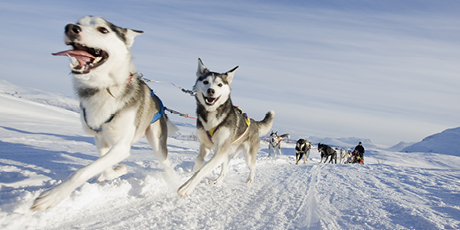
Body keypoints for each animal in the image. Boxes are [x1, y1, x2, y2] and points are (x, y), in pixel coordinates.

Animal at [29, 15, 175, 211]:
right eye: (79, 23)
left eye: (103, 30)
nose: (71, 28)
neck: (104, 88)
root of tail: (160, 103)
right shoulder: (100, 138)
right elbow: (104, 167)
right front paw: (118, 170)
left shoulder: (121, 146)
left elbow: (82, 172)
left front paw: (53, 195)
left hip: (157, 142)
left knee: (167, 165)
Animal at [178, 58, 274, 197]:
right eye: (205, 82)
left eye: (219, 85)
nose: (211, 91)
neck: (212, 114)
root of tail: (254, 122)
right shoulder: (205, 145)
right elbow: (199, 160)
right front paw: (195, 169)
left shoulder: (220, 151)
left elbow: (203, 170)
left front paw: (187, 187)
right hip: (226, 155)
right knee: (223, 172)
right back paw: (217, 181)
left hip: (248, 155)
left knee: (253, 167)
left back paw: (250, 179)